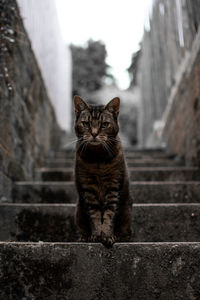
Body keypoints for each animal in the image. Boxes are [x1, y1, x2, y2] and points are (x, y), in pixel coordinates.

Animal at [73, 96, 133, 246]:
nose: (94, 133)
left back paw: (121, 237)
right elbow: (94, 215)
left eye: (104, 124)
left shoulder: (114, 187)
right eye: (86, 123)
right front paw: (95, 235)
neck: (98, 159)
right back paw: (83, 237)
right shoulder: (88, 189)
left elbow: (109, 214)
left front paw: (106, 235)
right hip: (78, 211)